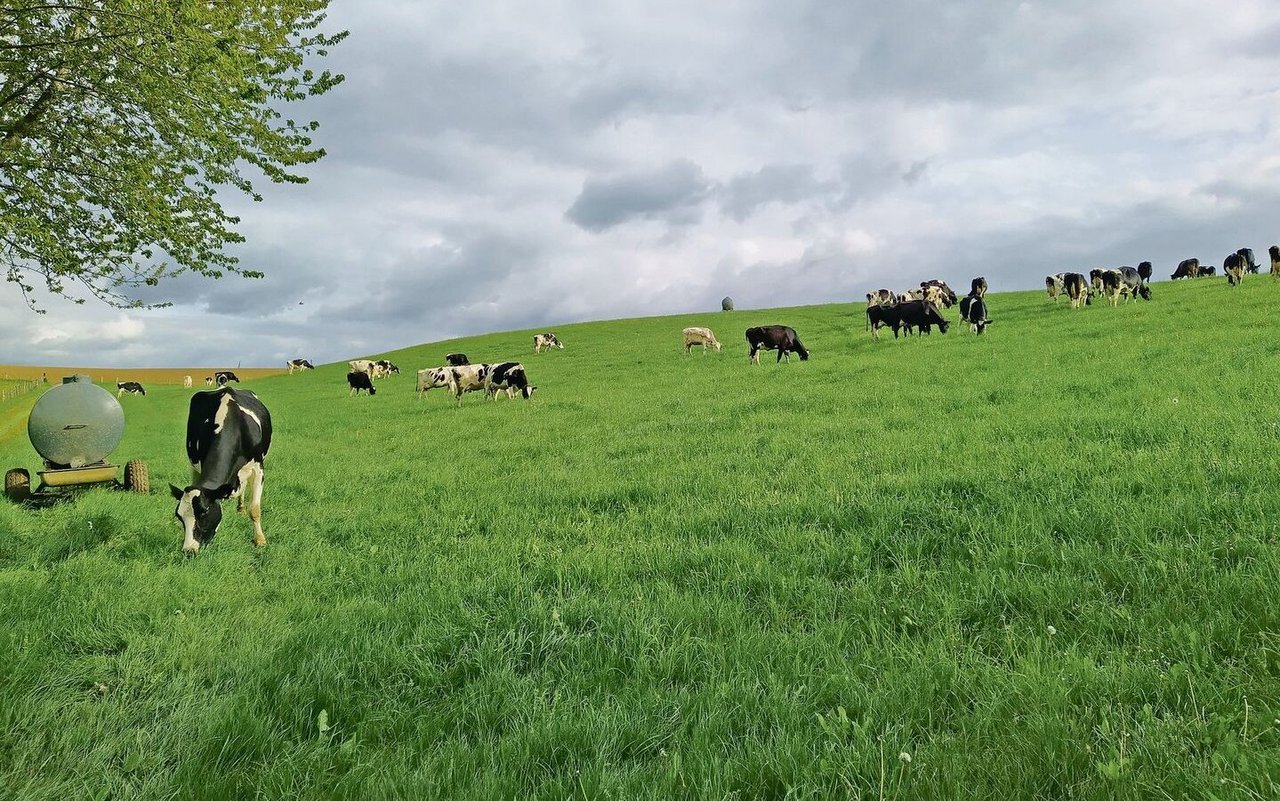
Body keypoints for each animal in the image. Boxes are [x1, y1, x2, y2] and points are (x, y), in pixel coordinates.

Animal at [168, 388, 271, 555]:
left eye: (204, 512)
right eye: (179, 516)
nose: (188, 550)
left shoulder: (258, 468)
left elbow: (255, 509)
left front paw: (260, 541)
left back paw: (241, 508)